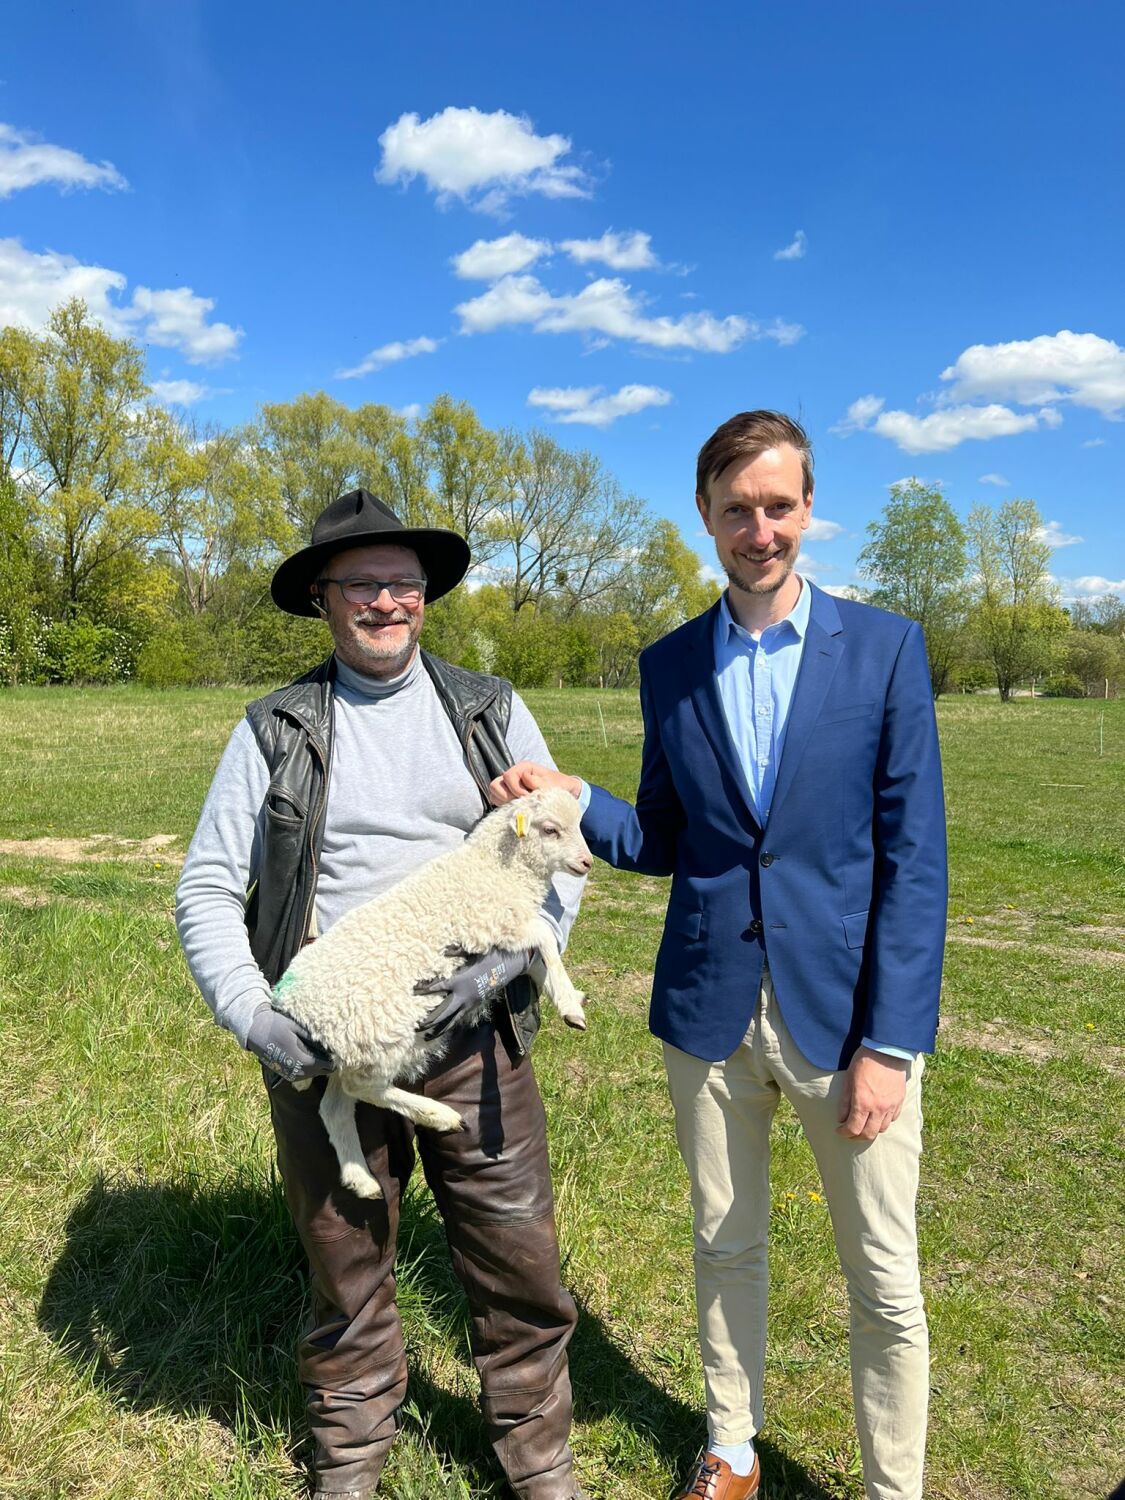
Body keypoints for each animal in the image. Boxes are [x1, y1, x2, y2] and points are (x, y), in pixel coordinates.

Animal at [270, 792, 594, 1200]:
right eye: (550, 829)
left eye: (580, 823)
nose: (587, 862)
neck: (495, 868)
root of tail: (290, 1008)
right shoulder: (491, 926)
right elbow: (545, 940)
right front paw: (566, 997)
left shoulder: (504, 932)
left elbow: (536, 960)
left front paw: (569, 1005)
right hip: (379, 1035)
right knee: (363, 1088)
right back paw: (438, 1115)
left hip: (351, 1048)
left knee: (335, 1107)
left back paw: (362, 1179)